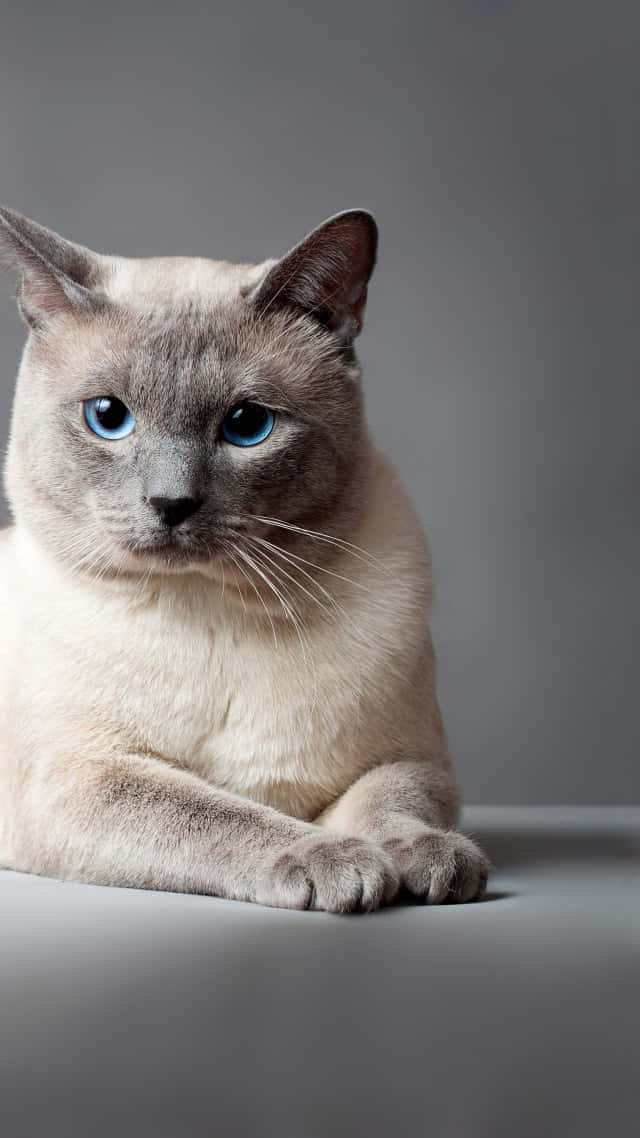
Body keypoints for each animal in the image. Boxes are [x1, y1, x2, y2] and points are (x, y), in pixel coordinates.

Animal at [0, 204, 485, 910]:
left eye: (248, 425)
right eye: (108, 417)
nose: (170, 503)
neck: (215, 611)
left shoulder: (410, 760)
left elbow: (389, 805)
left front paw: (433, 863)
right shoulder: (84, 778)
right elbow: (221, 815)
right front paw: (339, 864)